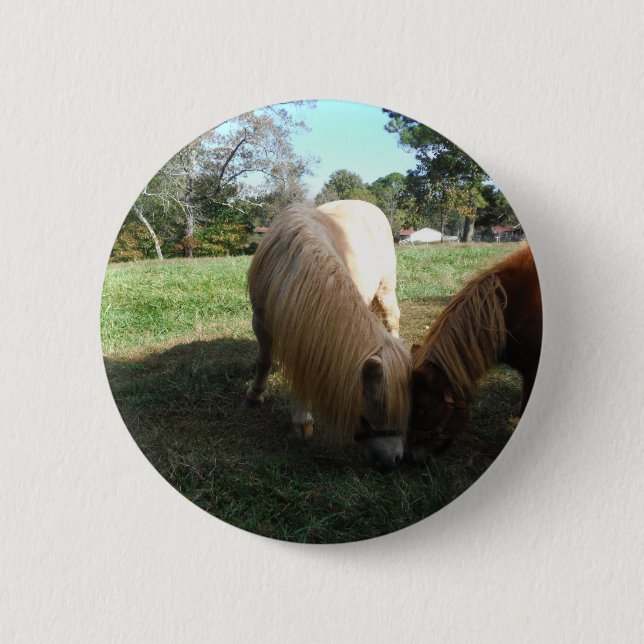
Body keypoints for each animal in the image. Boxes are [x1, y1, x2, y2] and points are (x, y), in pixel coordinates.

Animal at [245, 200, 411, 471]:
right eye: (367, 414)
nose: (392, 460)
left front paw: (302, 419)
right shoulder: (261, 323)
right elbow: (264, 361)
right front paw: (255, 395)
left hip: (386, 289)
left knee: (391, 319)